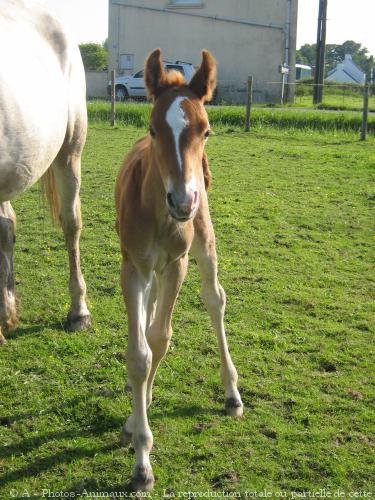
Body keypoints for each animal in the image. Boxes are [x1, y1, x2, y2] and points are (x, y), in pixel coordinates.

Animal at [114, 48, 244, 490]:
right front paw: (141, 460)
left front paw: (138, 436)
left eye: (206, 130)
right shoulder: (133, 266)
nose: (183, 201)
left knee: (214, 298)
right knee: (151, 308)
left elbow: (159, 339)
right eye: (154, 129)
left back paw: (232, 393)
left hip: (204, 236)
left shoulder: (178, 263)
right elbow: (139, 352)